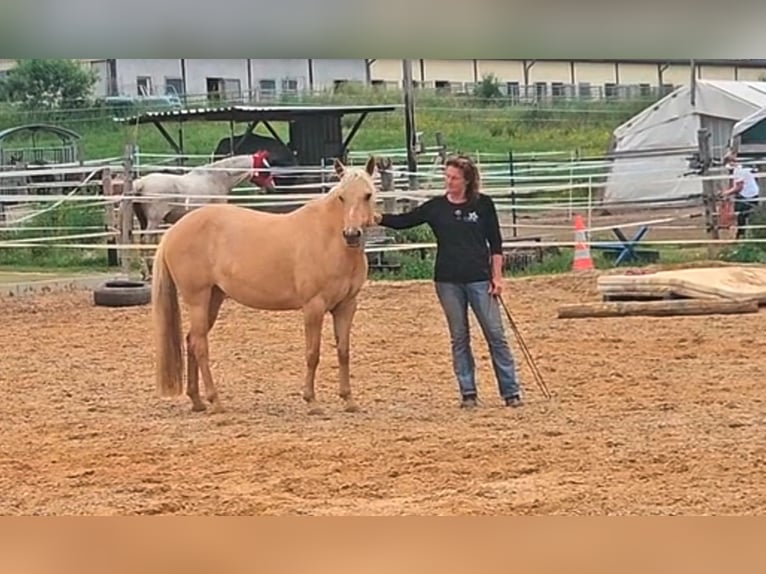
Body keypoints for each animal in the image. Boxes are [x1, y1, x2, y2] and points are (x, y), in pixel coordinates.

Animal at [131, 151, 275, 279]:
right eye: (264, 167)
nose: (272, 187)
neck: (216, 178)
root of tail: (141, 183)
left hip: (144, 221)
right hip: (154, 221)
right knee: (146, 241)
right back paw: (148, 272)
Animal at [151, 155, 379, 416]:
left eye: (367, 195)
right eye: (342, 196)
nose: (352, 234)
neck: (330, 239)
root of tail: (173, 232)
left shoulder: (346, 306)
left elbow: (343, 351)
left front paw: (349, 400)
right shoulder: (314, 307)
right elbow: (313, 353)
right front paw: (312, 402)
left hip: (213, 298)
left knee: (191, 340)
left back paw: (197, 401)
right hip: (197, 298)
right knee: (199, 344)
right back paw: (215, 402)